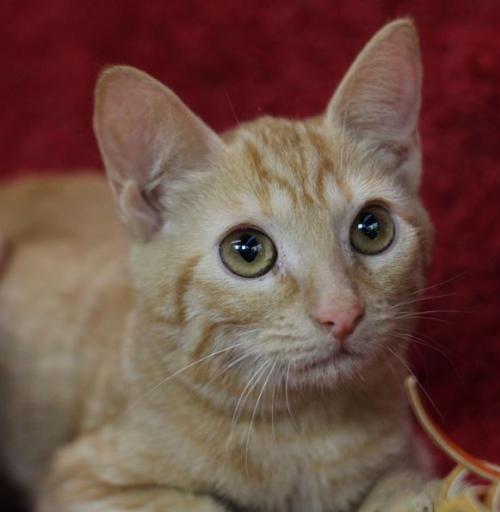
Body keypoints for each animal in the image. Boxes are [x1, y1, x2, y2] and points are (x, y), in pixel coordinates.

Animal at [0, 18, 440, 510]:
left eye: (372, 228)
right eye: (247, 250)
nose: (342, 314)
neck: (302, 432)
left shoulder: (410, 453)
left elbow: (405, 485)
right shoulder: (84, 480)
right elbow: (199, 503)